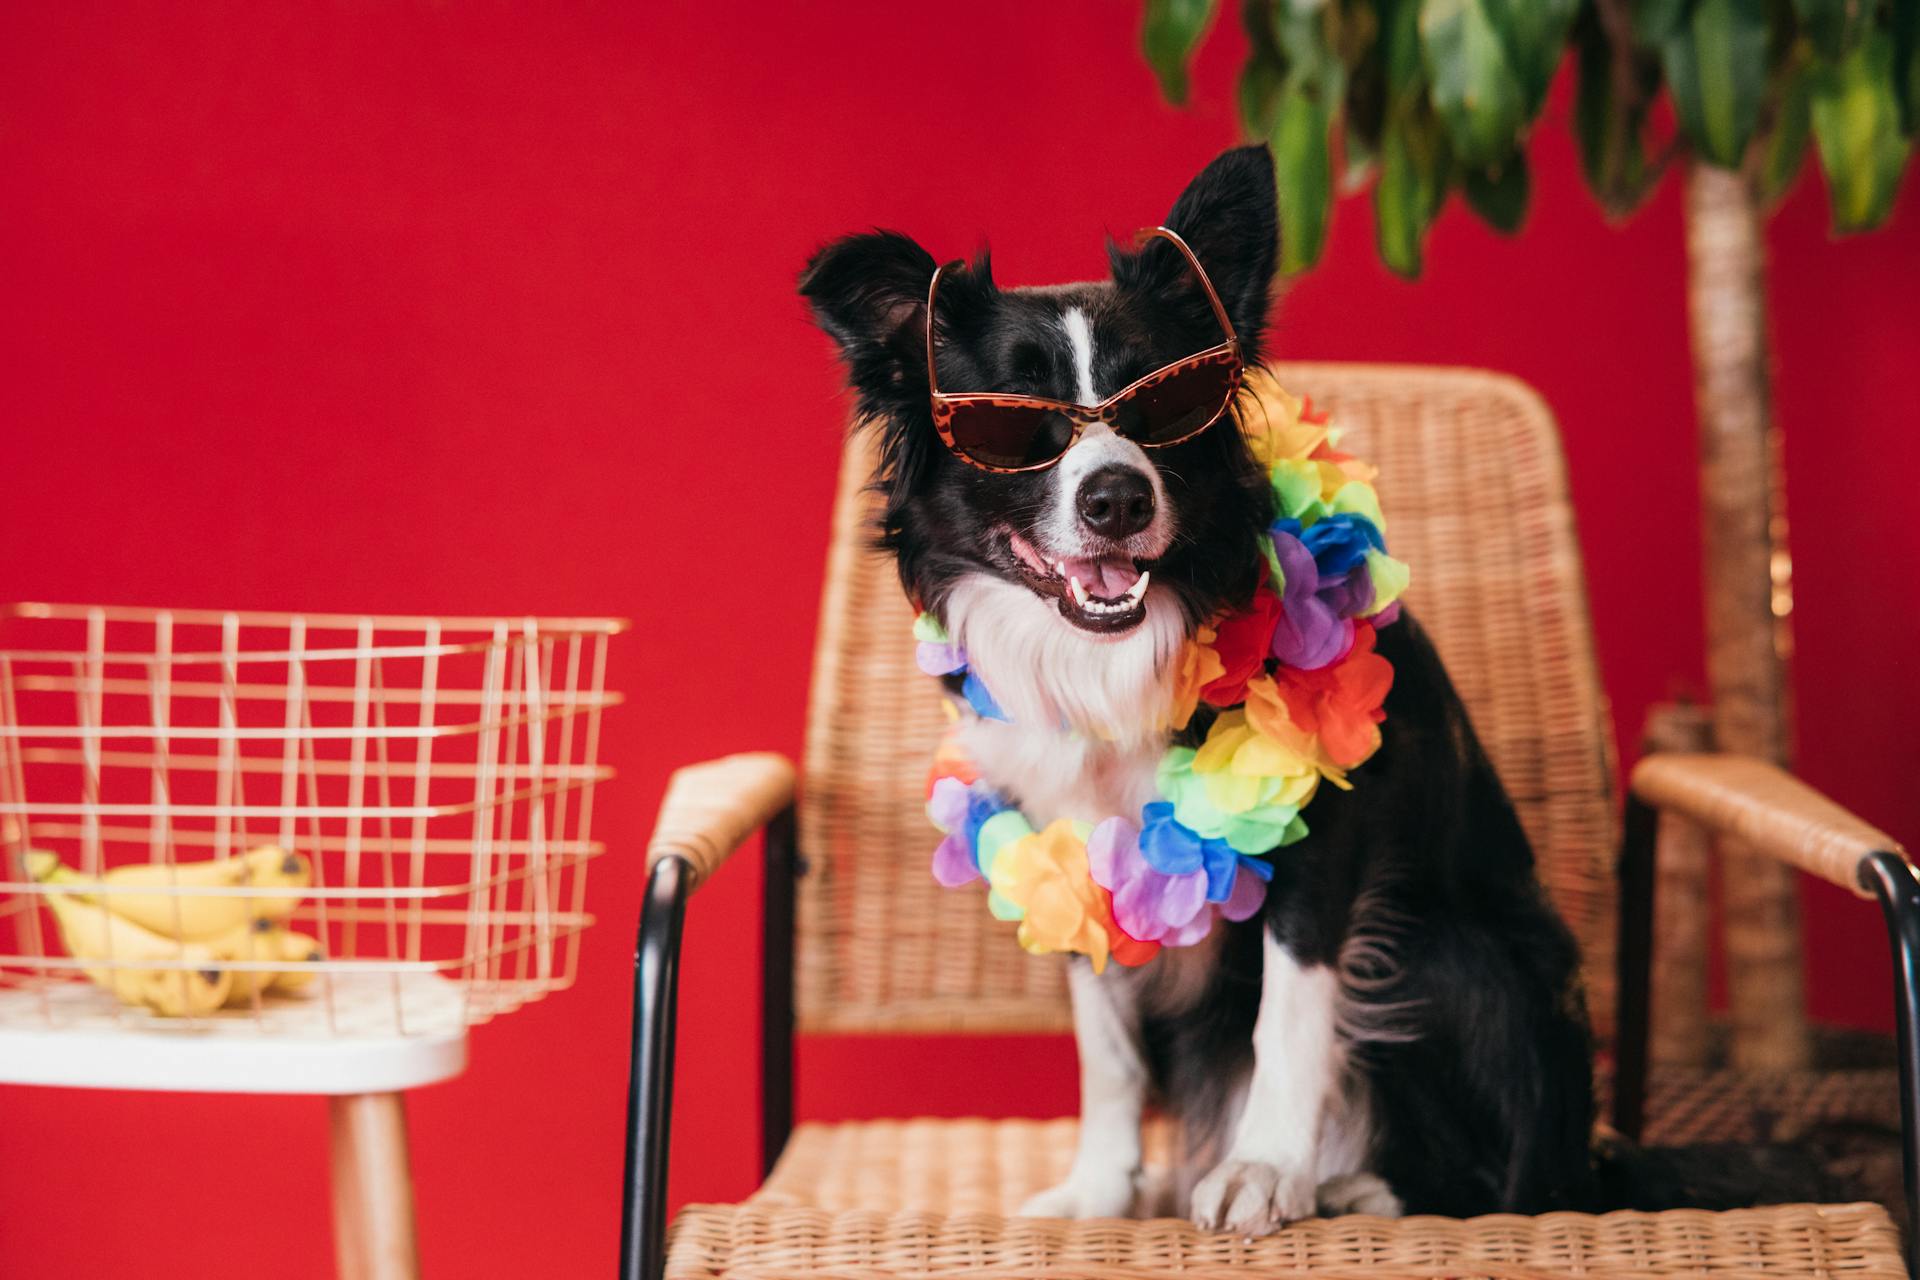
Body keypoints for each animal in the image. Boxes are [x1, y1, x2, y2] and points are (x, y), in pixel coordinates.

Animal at [794, 147, 1589, 1228]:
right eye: (1016, 424)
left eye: (1165, 406)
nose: (1117, 497)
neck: (1111, 657)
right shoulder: (1070, 848)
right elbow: (1107, 1047)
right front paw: (1101, 1186)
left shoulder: (1324, 828)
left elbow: (1289, 1014)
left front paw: (1263, 1168)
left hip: (1455, 951)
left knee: (1489, 1181)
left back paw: (1357, 1185)